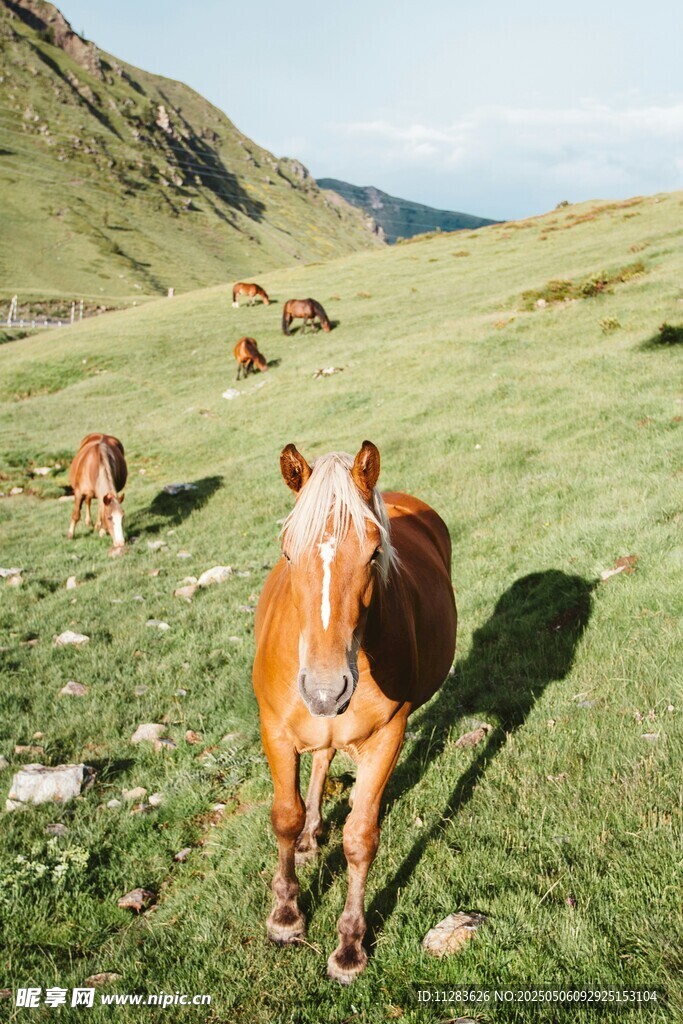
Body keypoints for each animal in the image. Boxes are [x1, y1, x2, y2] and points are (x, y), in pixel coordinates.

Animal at [252, 441, 457, 984]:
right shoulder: (274, 730)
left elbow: (360, 838)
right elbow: (284, 816)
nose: (325, 690)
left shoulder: (387, 736)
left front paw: (349, 945)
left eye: (373, 552)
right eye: (287, 551)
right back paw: (309, 835)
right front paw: (285, 915)